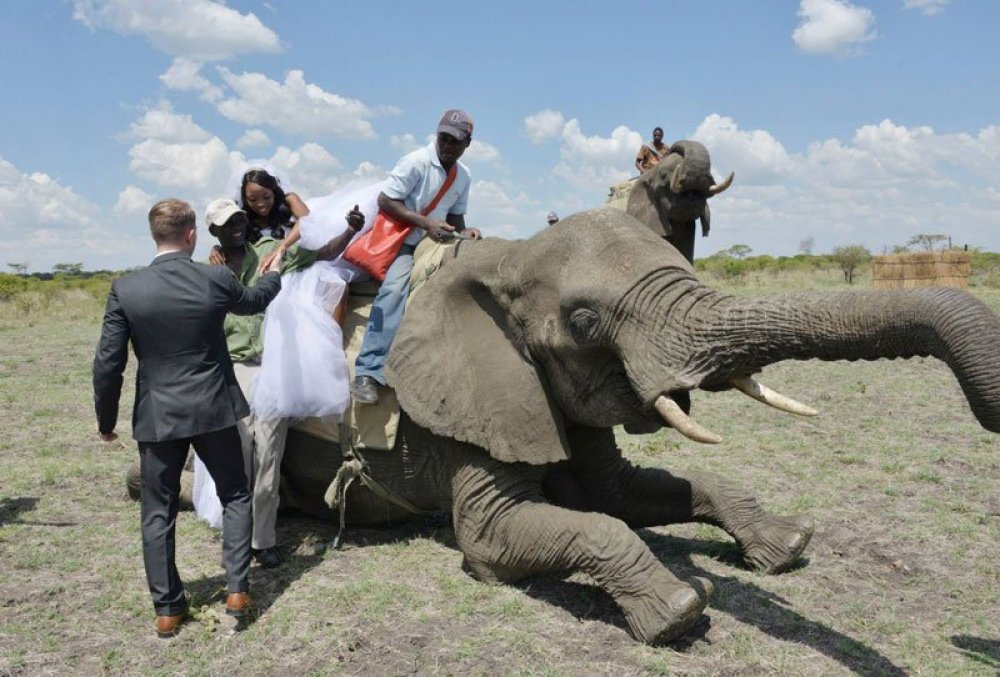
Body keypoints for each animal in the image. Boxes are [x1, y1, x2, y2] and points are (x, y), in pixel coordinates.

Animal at [125, 210, 1000, 644]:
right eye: (583, 320)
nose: (987, 406)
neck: (502, 262)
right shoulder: (468, 405)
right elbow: (501, 535)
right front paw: (680, 607)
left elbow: (621, 490)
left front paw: (785, 545)